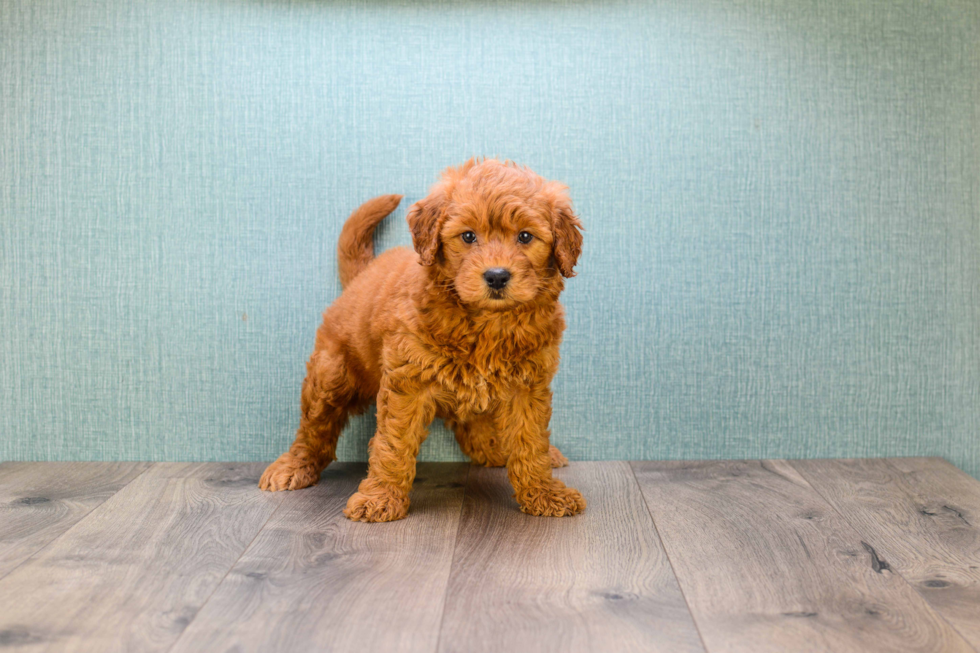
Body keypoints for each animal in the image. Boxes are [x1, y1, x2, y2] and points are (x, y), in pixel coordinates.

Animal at [256, 160, 584, 524]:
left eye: (525, 236)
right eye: (468, 236)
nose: (497, 276)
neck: (486, 324)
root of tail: (365, 273)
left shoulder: (528, 386)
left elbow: (530, 442)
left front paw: (543, 492)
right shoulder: (407, 383)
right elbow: (393, 443)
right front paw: (381, 496)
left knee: (475, 432)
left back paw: (504, 450)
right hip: (331, 373)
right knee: (314, 427)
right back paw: (293, 466)